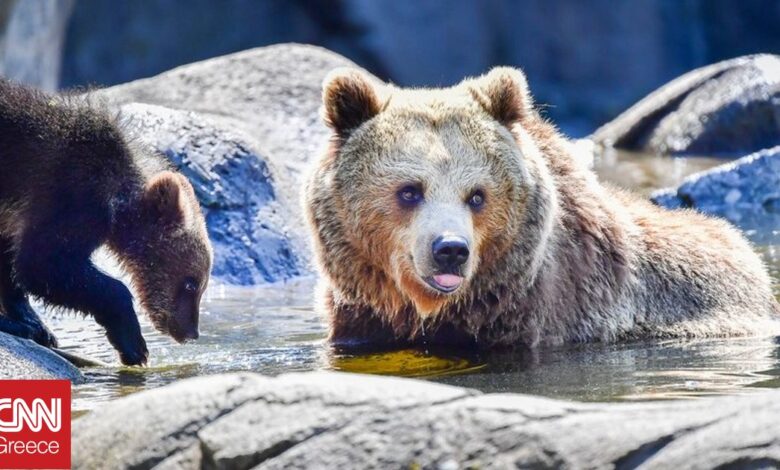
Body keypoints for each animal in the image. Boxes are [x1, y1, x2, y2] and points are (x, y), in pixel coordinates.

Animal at [0, 79, 212, 366]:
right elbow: (43, 263)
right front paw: (133, 344)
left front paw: (35, 325)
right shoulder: (72, 194)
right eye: (192, 283)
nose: (191, 332)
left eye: (202, 283)